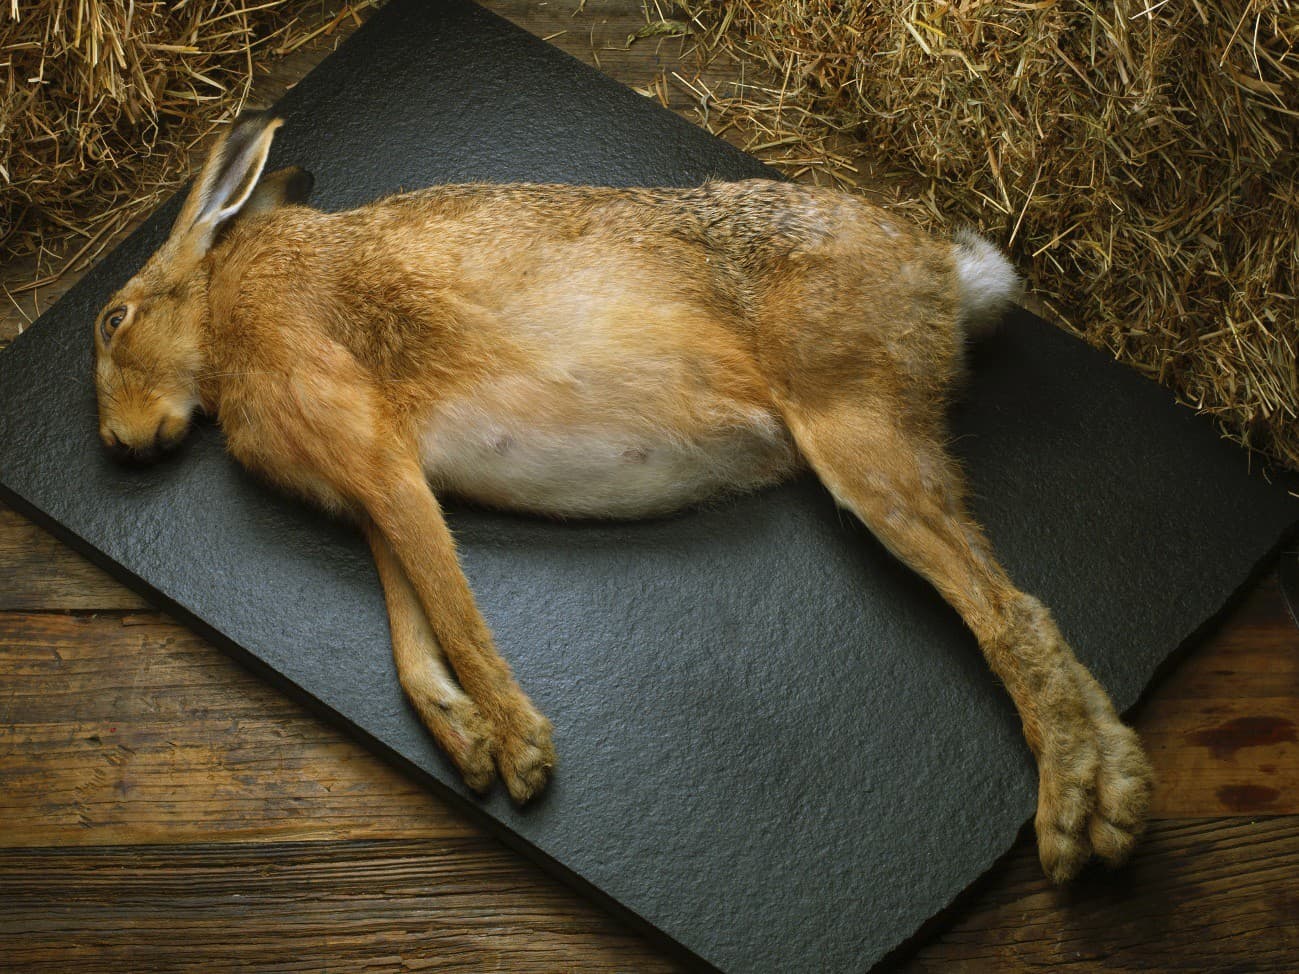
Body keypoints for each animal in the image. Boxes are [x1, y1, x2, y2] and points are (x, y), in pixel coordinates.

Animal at [93, 112, 1152, 884]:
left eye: (112, 320)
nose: (116, 444)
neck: (220, 320)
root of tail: (943, 273)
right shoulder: (373, 493)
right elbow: (408, 637)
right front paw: (470, 746)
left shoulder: (372, 455)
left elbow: (451, 615)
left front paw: (523, 753)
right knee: (1024, 610)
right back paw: (1122, 799)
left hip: (854, 426)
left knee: (1007, 612)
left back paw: (1071, 816)